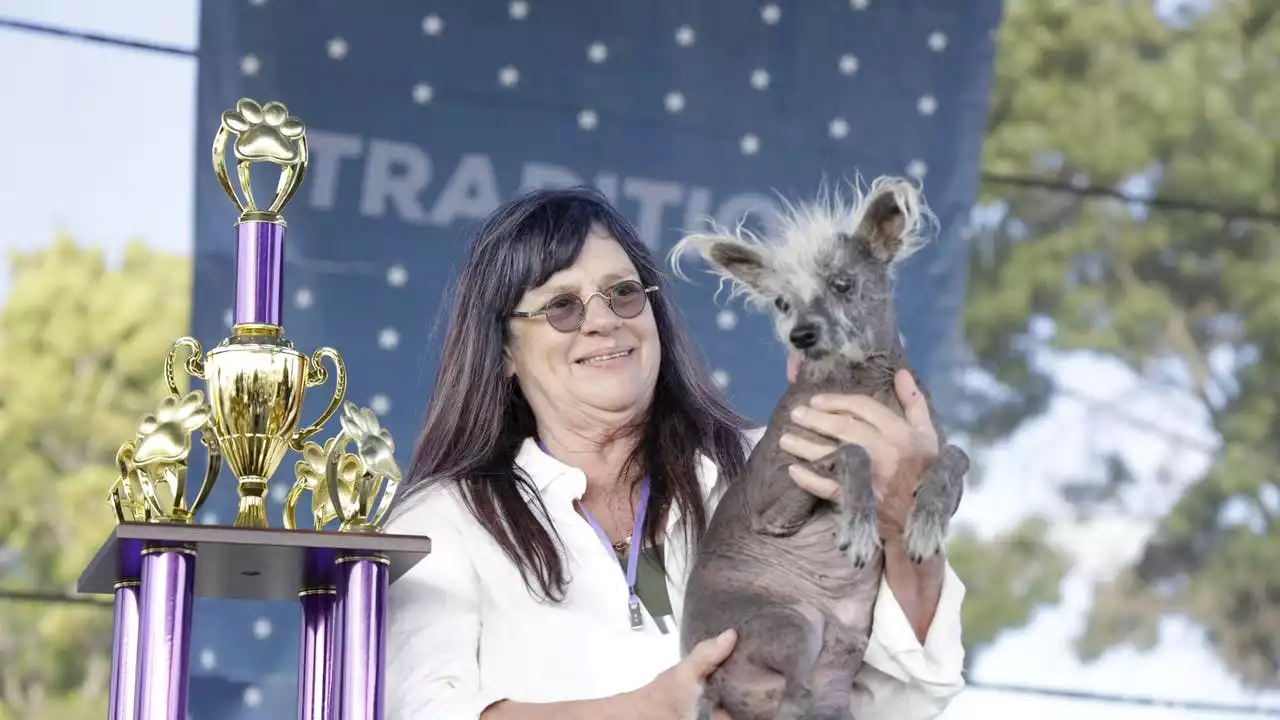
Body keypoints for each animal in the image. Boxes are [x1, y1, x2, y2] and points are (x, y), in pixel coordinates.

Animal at [675, 175, 962, 717]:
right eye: (781, 303)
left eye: (842, 284)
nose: (801, 335)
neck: (861, 384)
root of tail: (715, 684)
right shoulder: (771, 500)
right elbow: (855, 451)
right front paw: (859, 524)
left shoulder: (926, 443)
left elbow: (956, 457)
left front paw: (927, 523)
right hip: (795, 622)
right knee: (793, 693)